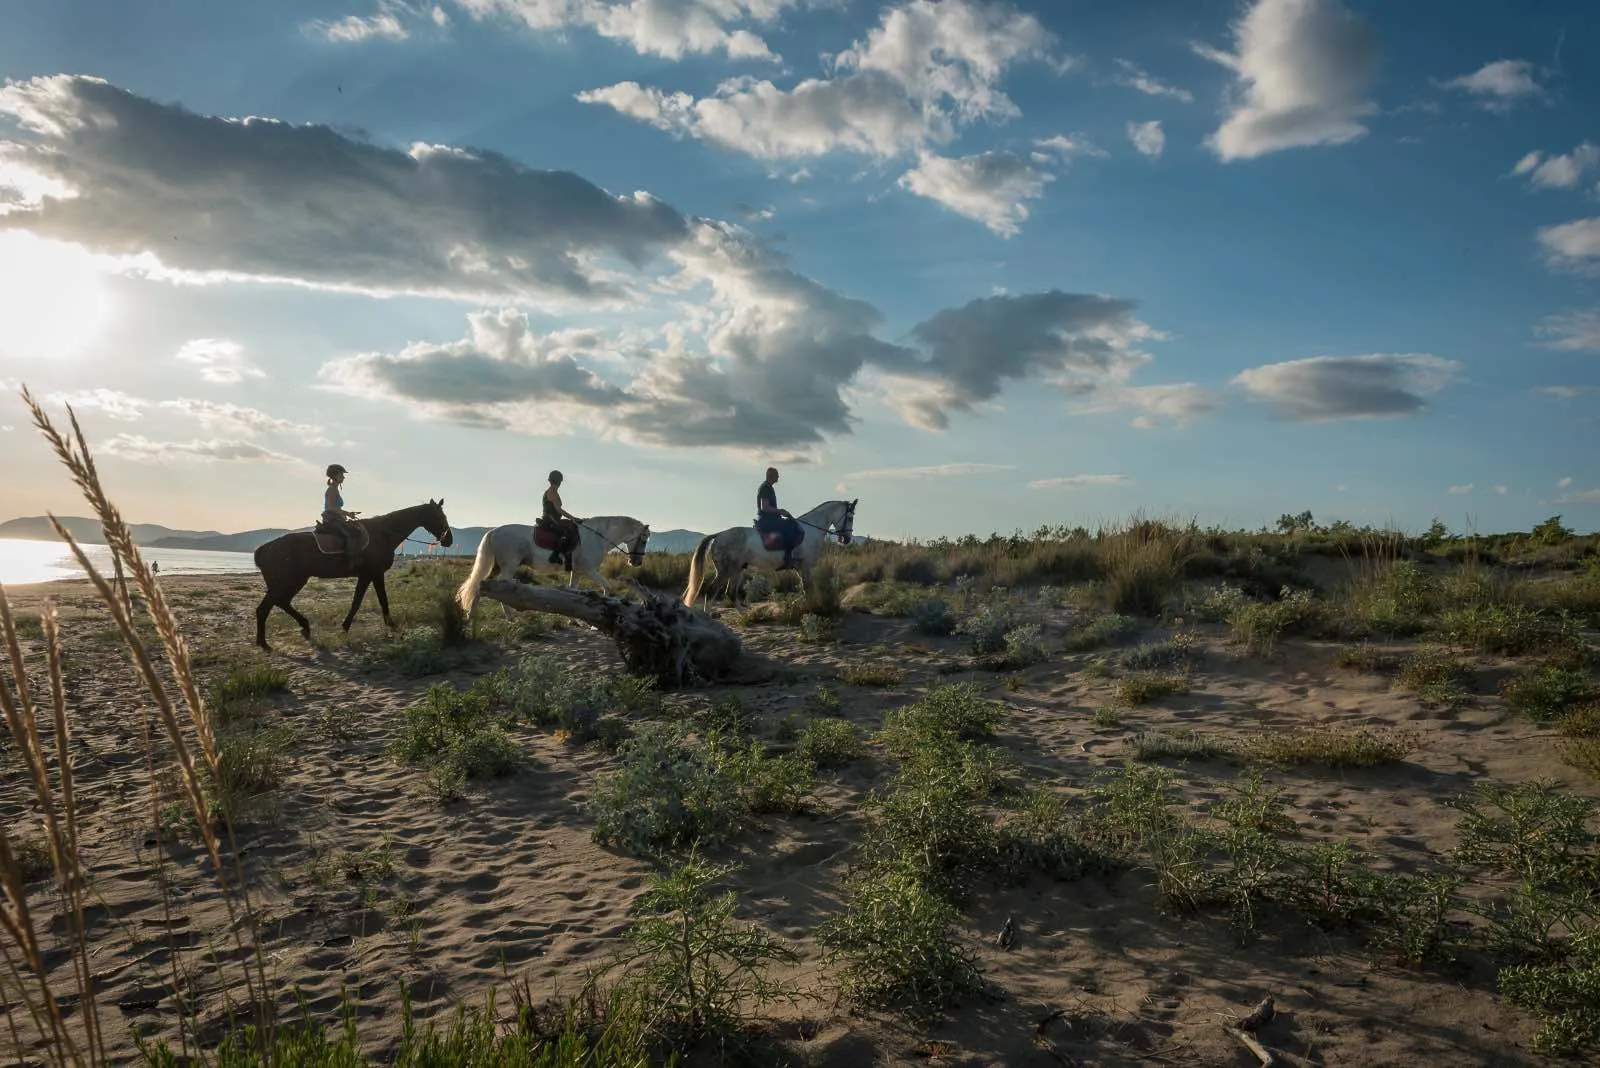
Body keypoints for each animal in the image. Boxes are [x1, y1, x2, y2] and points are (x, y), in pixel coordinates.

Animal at [253, 499, 453, 651]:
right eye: (440, 516)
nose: (449, 540)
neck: (384, 534)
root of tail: (264, 549)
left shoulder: (374, 575)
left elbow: (380, 601)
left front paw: (391, 626)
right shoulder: (369, 575)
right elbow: (359, 602)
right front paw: (345, 629)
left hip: (293, 582)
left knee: (280, 603)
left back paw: (303, 628)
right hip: (288, 582)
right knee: (266, 607)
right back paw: (265, 643)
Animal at [454, 515, 651, 622]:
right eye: (644, 539)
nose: (636, 562)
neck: (597, 537)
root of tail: (493, 532)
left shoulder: (577, 572)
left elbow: (574, 593)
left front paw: (574, 619)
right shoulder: (589, 570)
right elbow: (607, 587)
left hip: (496, 567)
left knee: (480, 585)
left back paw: (471, 617)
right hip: (508, 567)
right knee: (499, 589)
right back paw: (510, 618)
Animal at [682, 498, 856, 609]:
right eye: (850, 517)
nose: (846, 539)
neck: (811, 530)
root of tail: (718, 535)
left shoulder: (801, 568)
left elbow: (805, 589)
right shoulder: (805, 566)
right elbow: (807, 589)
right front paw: (810, 609)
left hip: (737, 569)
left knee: (730, 593)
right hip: (726, 570)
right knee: (712, 590)